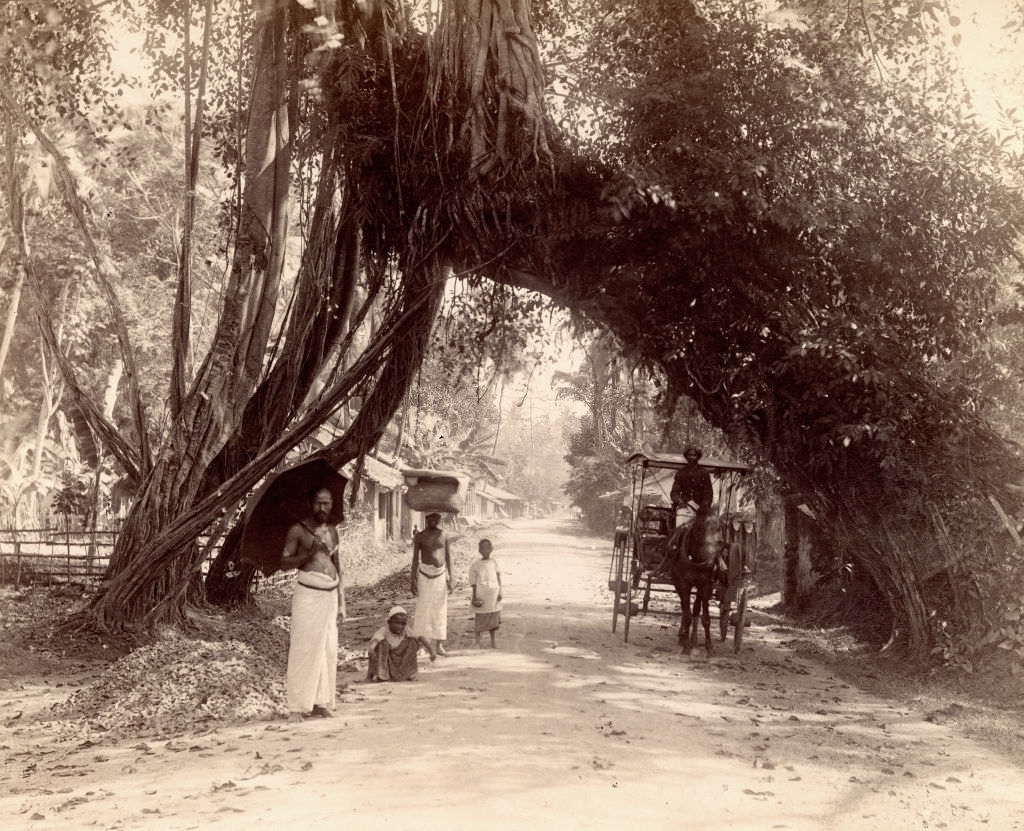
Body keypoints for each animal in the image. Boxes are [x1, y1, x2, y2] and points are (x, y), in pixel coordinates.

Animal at [667, 513, 724, 654]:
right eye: (699, 528)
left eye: (719, 527)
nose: (712, 562)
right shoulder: (683, 584)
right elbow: (687, 615)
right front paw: (686, 645)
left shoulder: (706, 585)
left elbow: (705, 617)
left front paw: (708, 646)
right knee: (684, 608)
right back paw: (684, 637)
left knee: (696, 609)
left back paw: (694, 641)